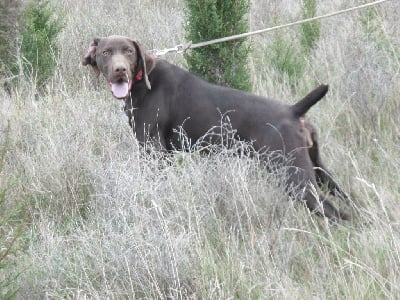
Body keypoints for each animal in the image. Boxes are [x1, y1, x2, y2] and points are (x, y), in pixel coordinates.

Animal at [82, 36, 350, 221]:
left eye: (128, 52)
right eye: (106, 52)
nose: (120, 70)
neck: (143, 82)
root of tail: (294, 111)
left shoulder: (153, 152)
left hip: (294, 177)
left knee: (335, 213)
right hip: (317, 170)